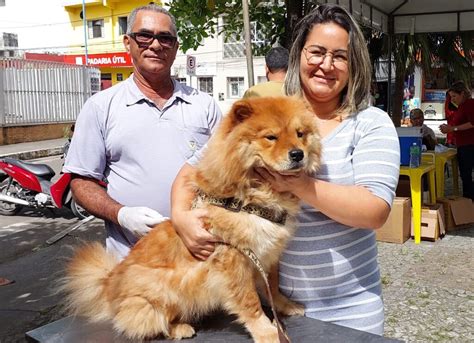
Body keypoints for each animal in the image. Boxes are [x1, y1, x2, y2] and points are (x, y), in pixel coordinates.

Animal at [62, 96, 322, 343]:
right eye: (271, 137)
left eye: (300, 134)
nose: (298, 154)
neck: (251, 199)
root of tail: (109, 284)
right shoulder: (233, 261)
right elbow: (250, 303)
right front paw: (268, 332)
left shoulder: (267, 255)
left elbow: (273, 289)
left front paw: (285, 308)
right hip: (164, 287)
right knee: (147, 322)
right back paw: (179, 328)